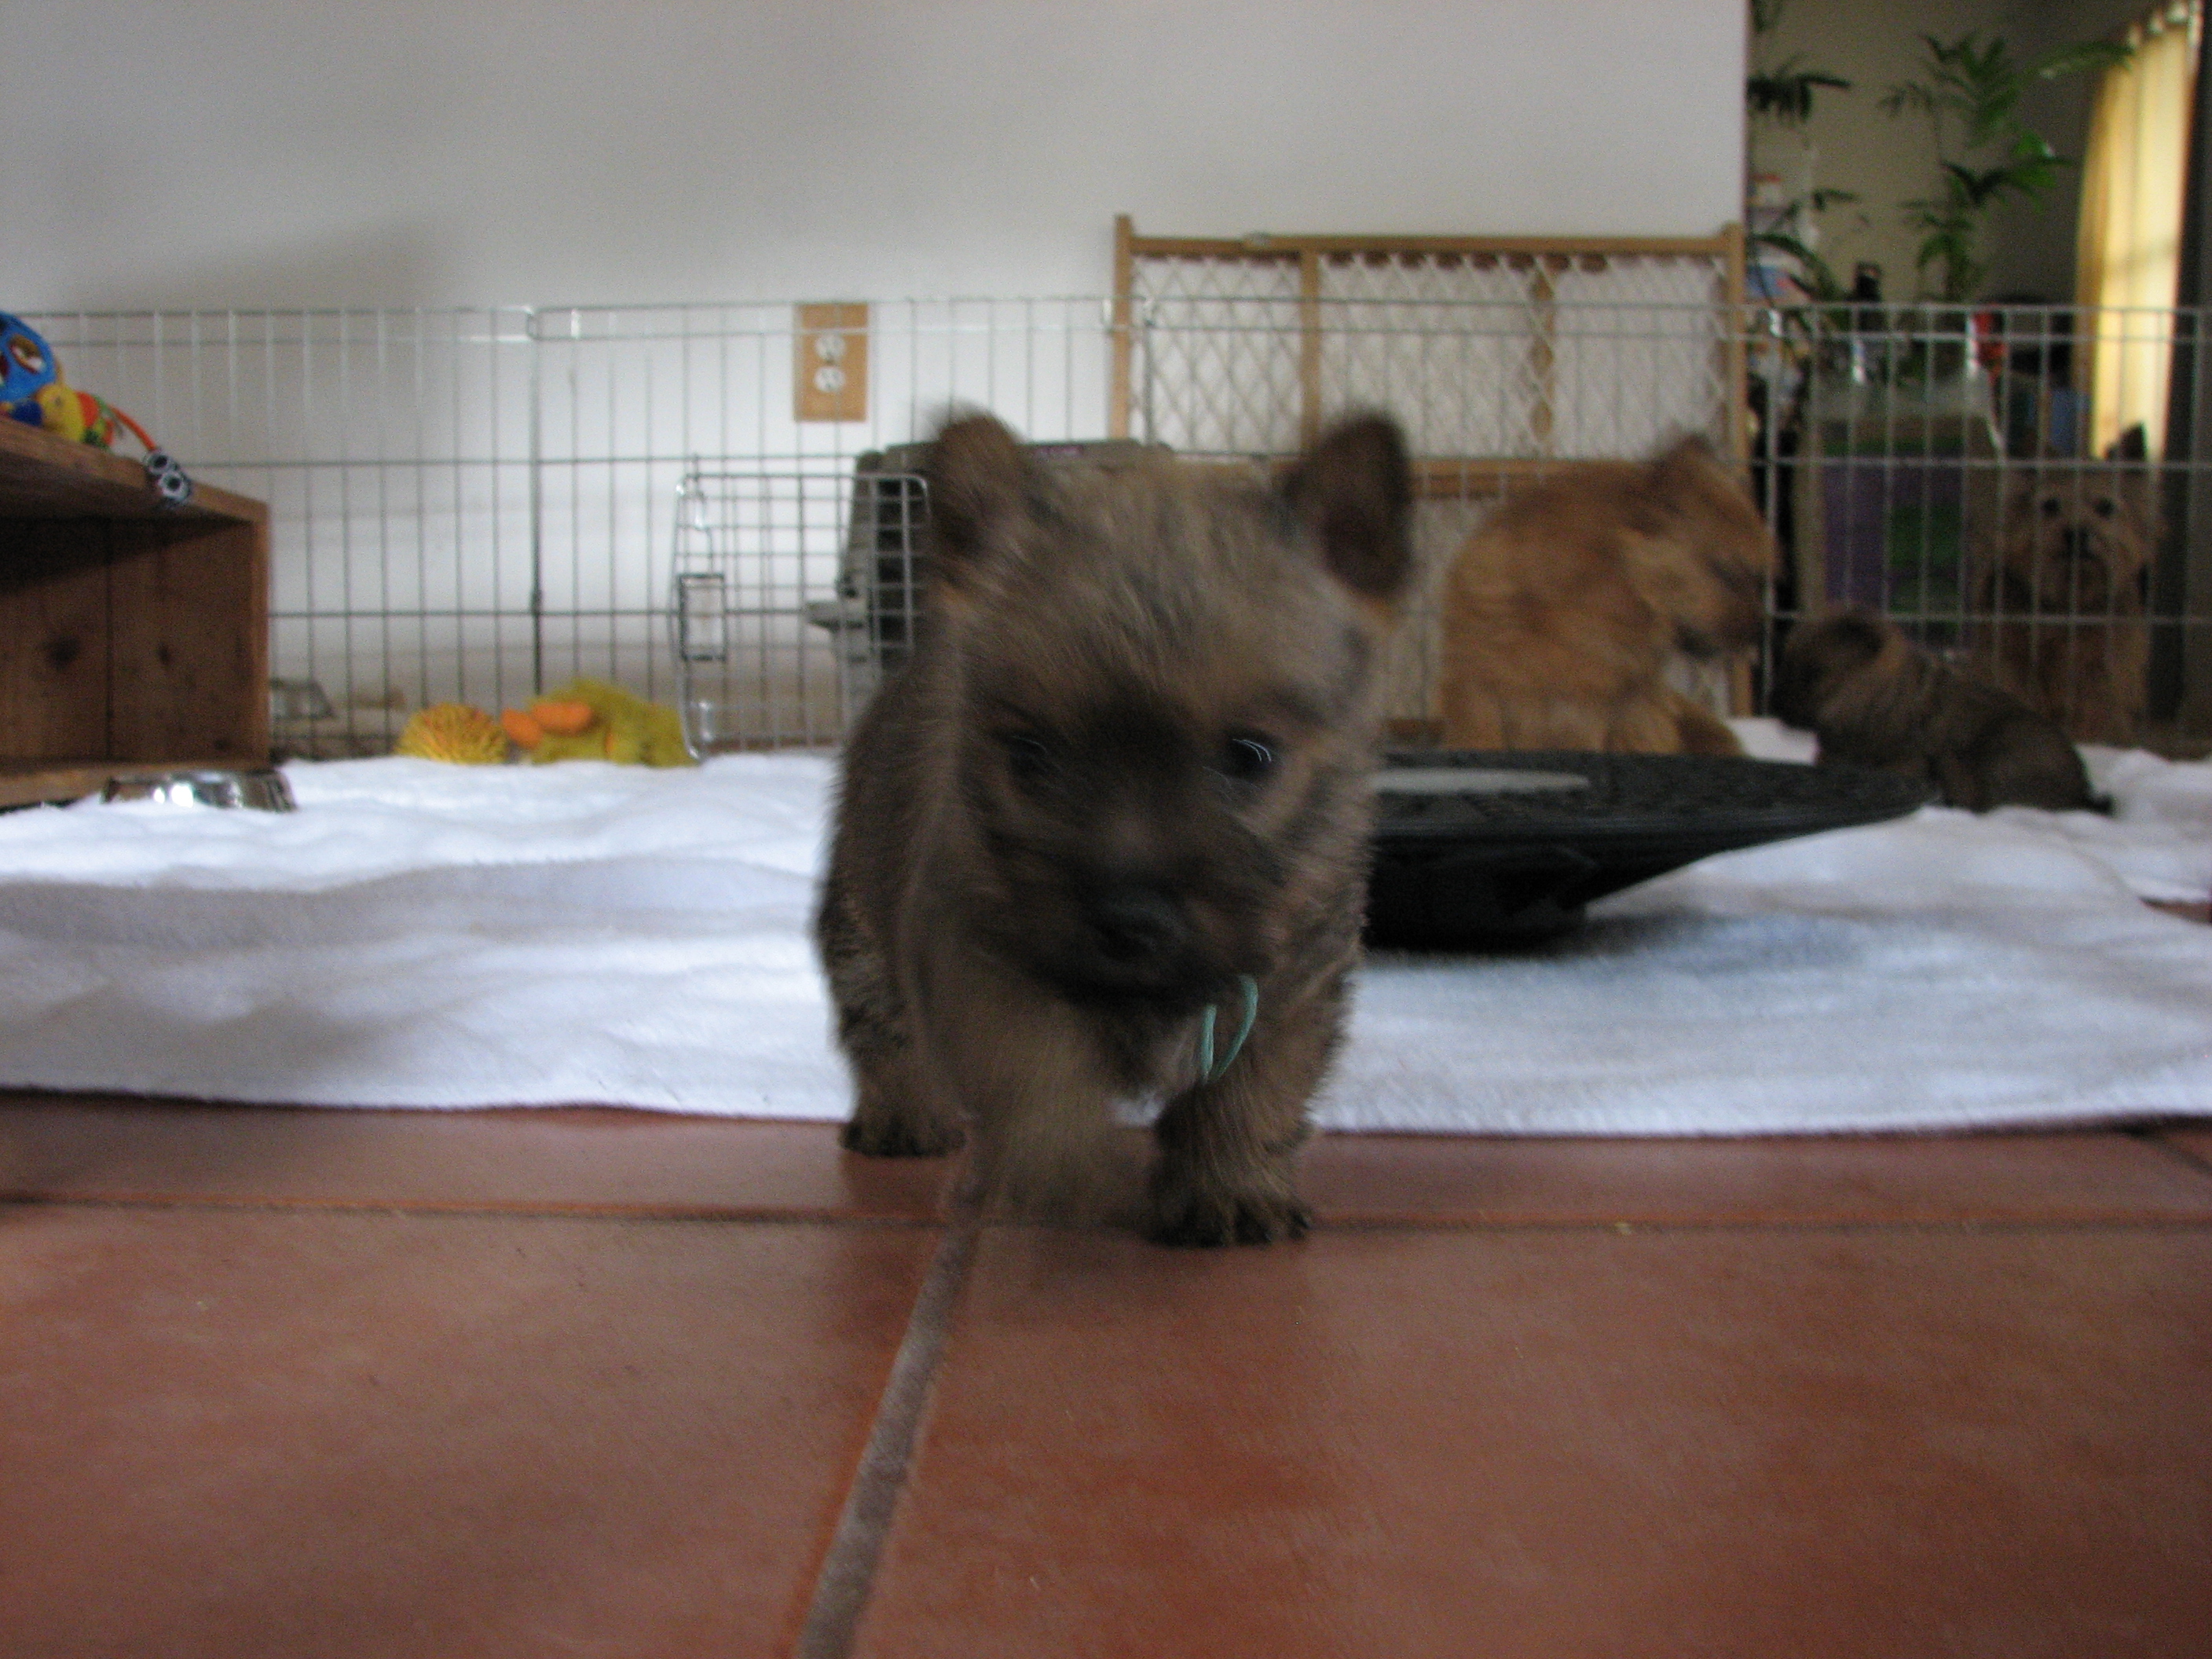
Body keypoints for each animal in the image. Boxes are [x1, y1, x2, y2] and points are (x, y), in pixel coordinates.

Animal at [815, 411, 1413, 1245]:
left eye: (1250, 755)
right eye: (1029, 755)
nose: (1129, 921)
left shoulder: (1293, 986)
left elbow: (1252, 1094)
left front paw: (1230, 1188)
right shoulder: (978, 957)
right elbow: (1034, 1069)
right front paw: (1059, 1168)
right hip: (860, 923)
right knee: (883, 1030)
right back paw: (905, 1116)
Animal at [1972, 427, 2154, 746]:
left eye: (2105, 507)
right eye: (2051, 505)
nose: (2077, 533)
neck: (2069, 597)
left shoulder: (2104, 675)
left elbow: (2096, 712)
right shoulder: (2010, 661)